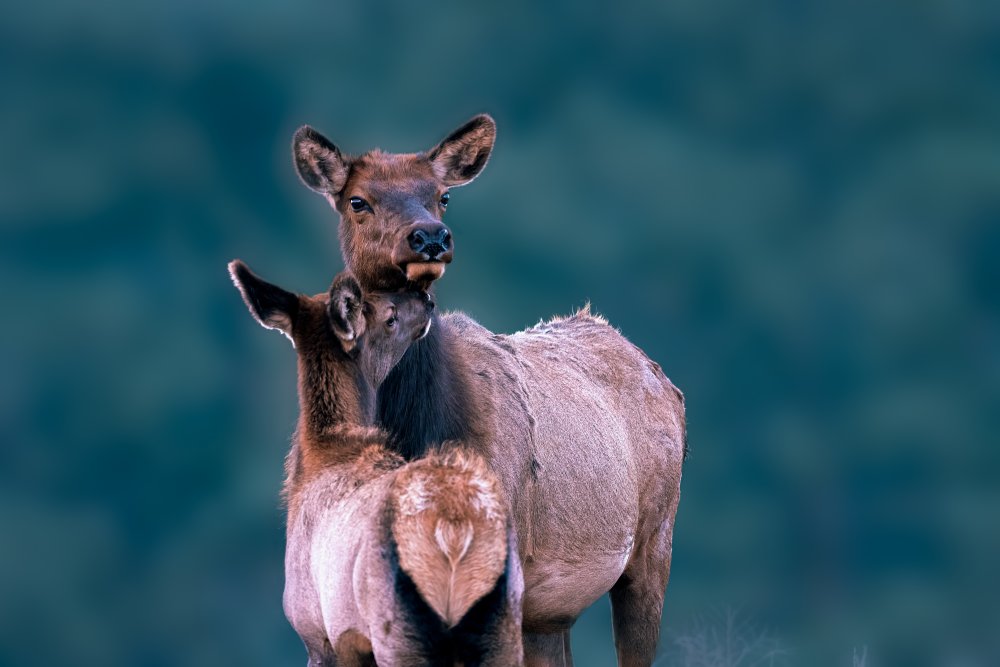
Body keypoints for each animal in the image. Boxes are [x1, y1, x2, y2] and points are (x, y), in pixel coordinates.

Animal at [228, 262, 524, 667]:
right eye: (390, 316)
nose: (427, 299)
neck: (321, 456)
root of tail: (454, 532)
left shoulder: (316, 632)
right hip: (507, 624)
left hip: (396, 633)